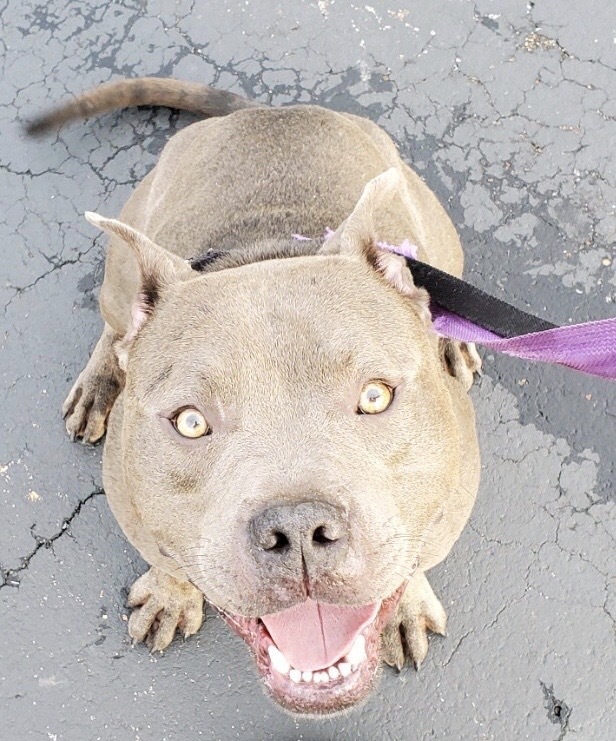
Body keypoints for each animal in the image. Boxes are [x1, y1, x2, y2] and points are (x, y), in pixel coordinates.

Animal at [28, 78, 482, 712]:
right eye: (190, 422)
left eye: (374, 396)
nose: (297, 530)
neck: (267, 252)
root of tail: (266, 110)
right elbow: (166, 561)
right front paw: (171, 593)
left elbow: (413, 563)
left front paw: (406, 605)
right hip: (120, 270)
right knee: (116, 330)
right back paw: (99, 383)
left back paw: (457, 340)